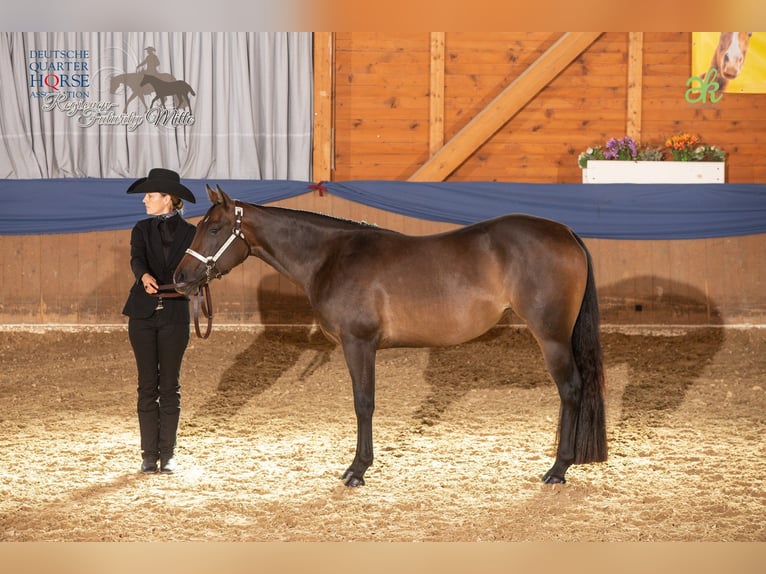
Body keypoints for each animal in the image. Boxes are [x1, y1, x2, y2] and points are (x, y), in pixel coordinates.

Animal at [173, 185, 608, 487]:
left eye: (214, 228)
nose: (180, 278)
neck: (331, 256)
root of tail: (565, 232)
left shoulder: (359, 343)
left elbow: (363, 404)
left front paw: (357, 470)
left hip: (552, 337)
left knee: (571, 390)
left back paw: (558, 468)